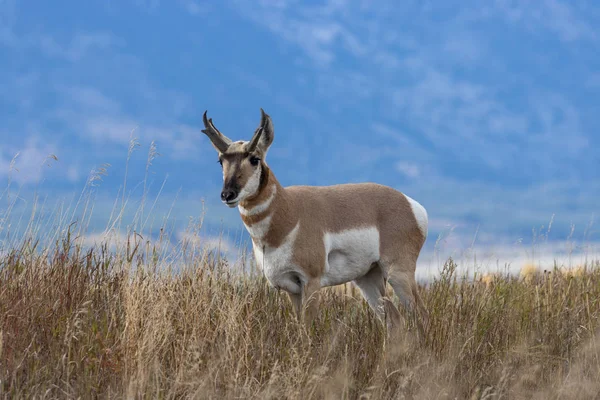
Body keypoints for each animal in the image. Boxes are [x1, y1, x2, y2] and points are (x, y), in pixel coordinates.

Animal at [204, 109, 428, 334]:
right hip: (368, 278)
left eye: (254, 159)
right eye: (221, 160)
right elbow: (298, 326)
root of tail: (412, 205)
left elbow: (307, 328)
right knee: (395, 320)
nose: (227, 194)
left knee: (419, 315)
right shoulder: (291, 288)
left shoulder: (311, 281)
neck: (289, 211)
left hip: (398, 273)